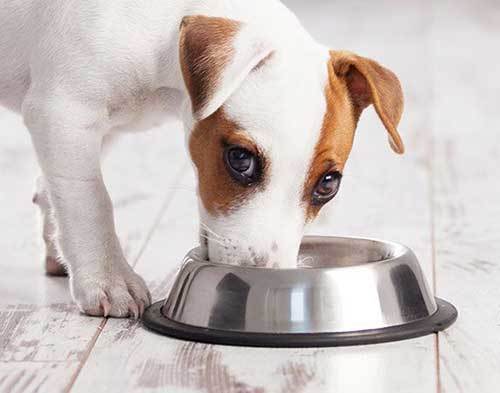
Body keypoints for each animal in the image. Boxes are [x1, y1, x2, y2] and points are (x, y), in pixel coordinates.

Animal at [0, 0, 404, 316]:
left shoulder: (97, 128)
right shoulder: (64, 113)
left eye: (328, 184)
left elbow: (56, 189)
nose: (267, 276)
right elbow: (89, 199)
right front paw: (108, 277)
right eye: (240, 160)